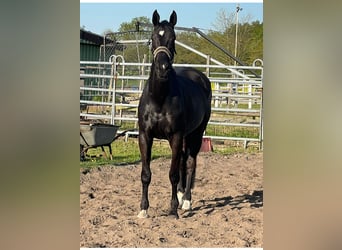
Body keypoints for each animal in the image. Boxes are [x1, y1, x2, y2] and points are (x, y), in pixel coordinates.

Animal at [136, 9, 211, 218]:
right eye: (153, 37)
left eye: (173, 38)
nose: (163, 68)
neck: (159, 98)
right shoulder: (145, 135)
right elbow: (146, 174)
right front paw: (143, 209)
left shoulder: (176, 136)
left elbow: (173, 173)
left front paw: (173, 209)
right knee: (183, 160)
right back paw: (180, 194)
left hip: (196, 133)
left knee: (190, 162)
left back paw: (186, 201)